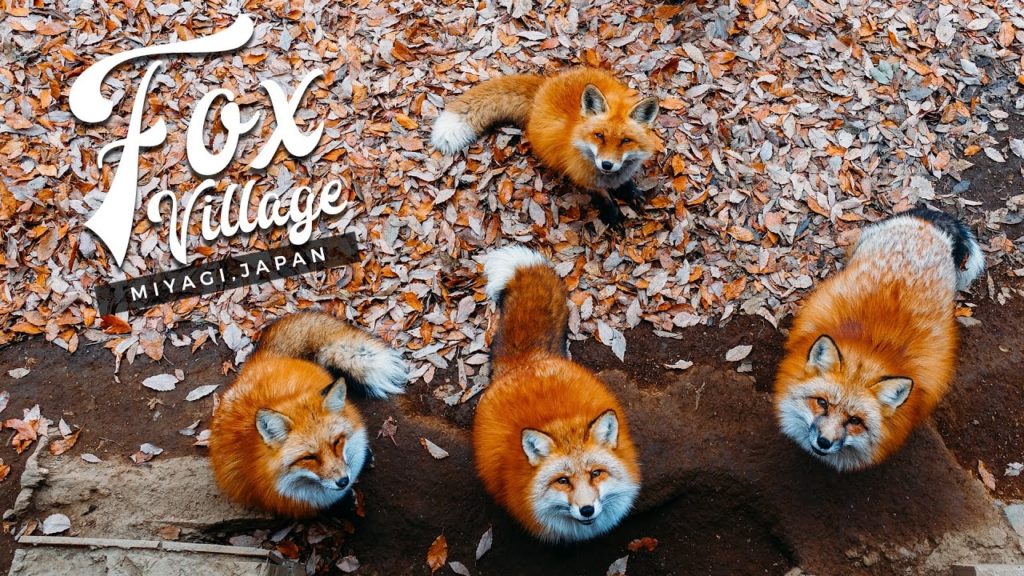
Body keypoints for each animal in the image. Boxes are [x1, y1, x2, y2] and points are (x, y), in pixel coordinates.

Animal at [431, 67, 661, 226]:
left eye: (625, 141)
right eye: (599, 136)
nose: (606, 164)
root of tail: (544, 84)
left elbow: (625, 182)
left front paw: (631, 191)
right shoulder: (582, 178)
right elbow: (602, 196)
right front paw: (612, 214)